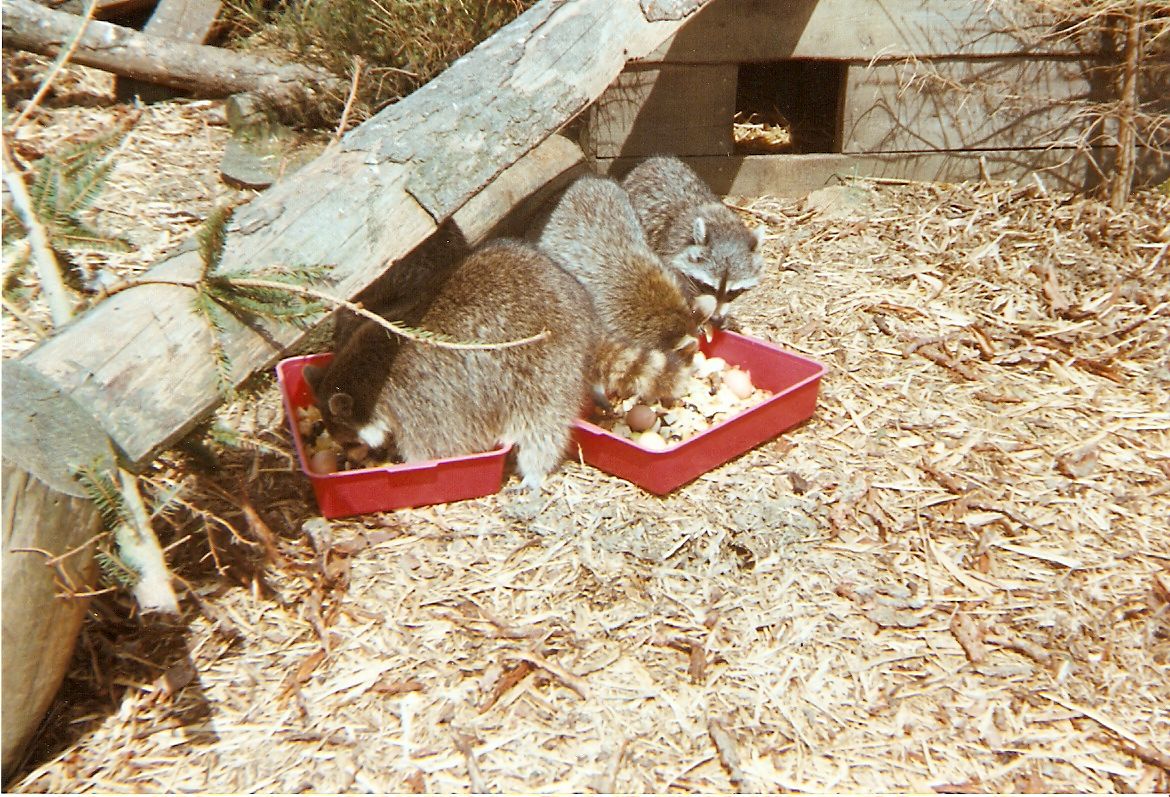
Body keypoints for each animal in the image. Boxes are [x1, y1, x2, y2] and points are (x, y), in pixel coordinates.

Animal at [303, 238, 594, 492]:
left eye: (349, 440)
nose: (351, 459)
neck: (366, 376)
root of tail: (572, 289)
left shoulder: (421, 401)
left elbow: (435, 449)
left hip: (548, 363)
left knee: (543, 423)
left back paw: (534, 469)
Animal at [621, 155, 765, 325]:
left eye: (733, 292)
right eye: (709, 287)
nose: (716, 318)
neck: (722, 224)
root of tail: (654, 160)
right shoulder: (669, 251)